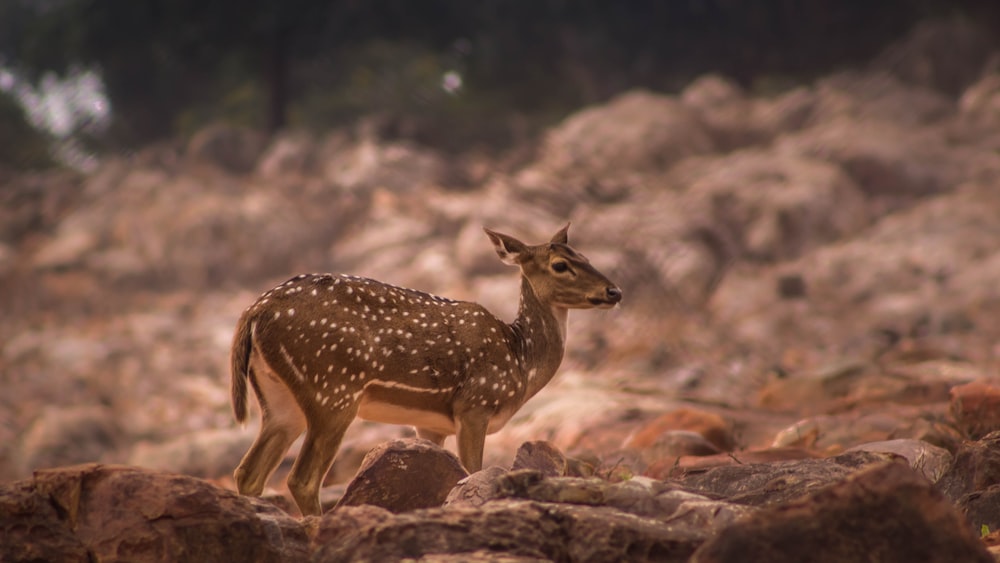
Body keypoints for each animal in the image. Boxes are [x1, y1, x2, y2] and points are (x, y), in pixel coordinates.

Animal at [230, 225, 620, 516]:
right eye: (560, 264)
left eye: (585, 257)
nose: (614, 291)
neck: (520, 362)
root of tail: (255, 310)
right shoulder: (475, 404)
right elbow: (474, 473)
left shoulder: (431, 424)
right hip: (333, 388)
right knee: (302, 479)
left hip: (281, 399)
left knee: (248, 472)